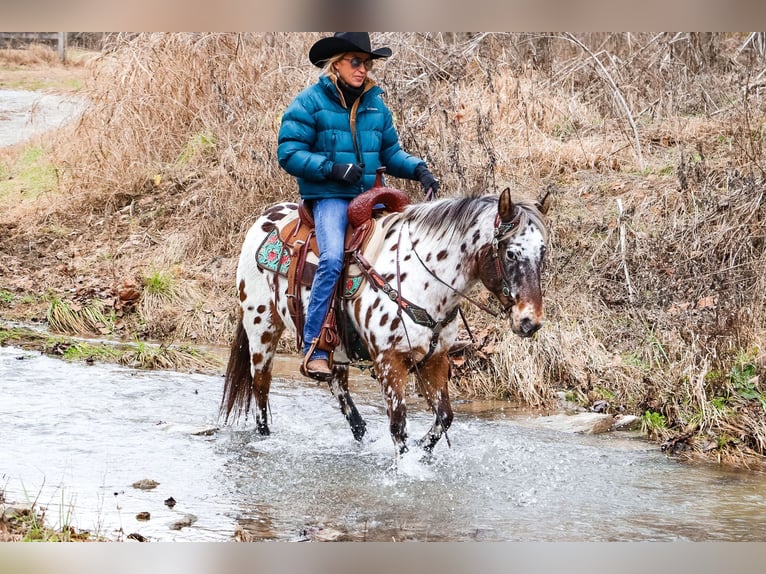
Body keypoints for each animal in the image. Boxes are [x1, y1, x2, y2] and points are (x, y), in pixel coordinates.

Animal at [222, 191, 552, 456]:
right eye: (511, 253)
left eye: (542, 252)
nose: (530, 321)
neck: (424, 283)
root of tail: (267, 217)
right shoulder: (390, 362)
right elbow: (398, 426)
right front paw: (406, 466)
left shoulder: (436, 359)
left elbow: (444, 418)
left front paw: (423, 451)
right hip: (262, 329)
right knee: (261, 387)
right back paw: (265, 437)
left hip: (334, 347)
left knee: (338, 385)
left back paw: (361, 435)